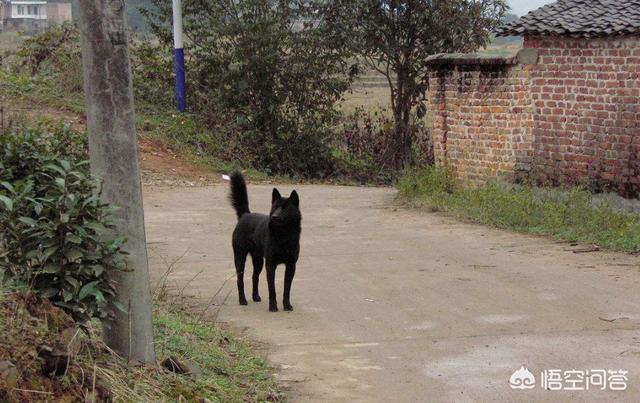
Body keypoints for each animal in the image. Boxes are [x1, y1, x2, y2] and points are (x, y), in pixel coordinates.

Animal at [229, 173, 302, 312]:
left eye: (285, 208)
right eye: (275, 207)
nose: (274, 216)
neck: (283, 235)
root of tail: (245, 215)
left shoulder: (291, 266)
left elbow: (286, 289)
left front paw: (287, 306)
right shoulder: (270, 265)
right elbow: (272, 289)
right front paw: (273, 307)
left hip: (258, 261)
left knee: (254, 277)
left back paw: (255, 297)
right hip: (240, 257)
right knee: (240, 280)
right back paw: (243, 300)